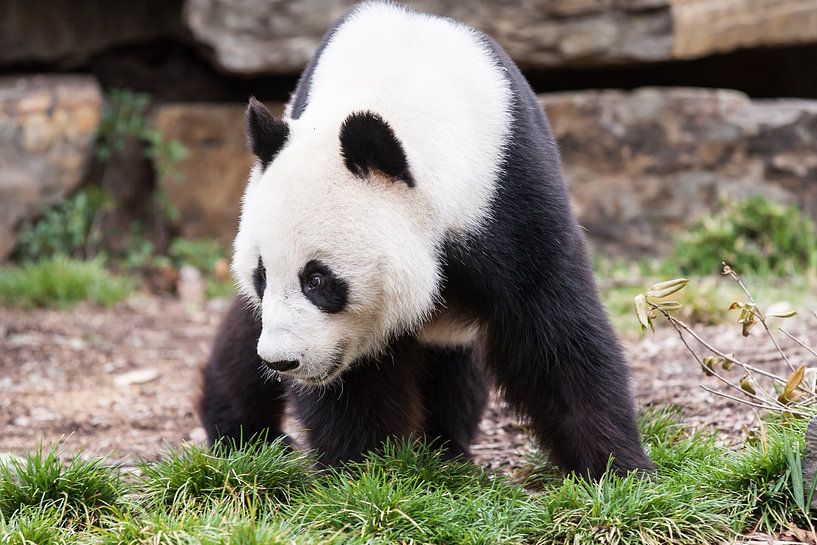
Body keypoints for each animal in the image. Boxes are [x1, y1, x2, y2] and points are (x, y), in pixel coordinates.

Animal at [201, 0, 652, 476]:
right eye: (262, 276)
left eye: (318, 280)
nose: (283, 360)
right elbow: (356, 381)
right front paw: (362, 469)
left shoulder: (510, 190)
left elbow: (552, 333)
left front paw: (617, 467)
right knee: (242, 343)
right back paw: (247, 436)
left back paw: (444, 447)